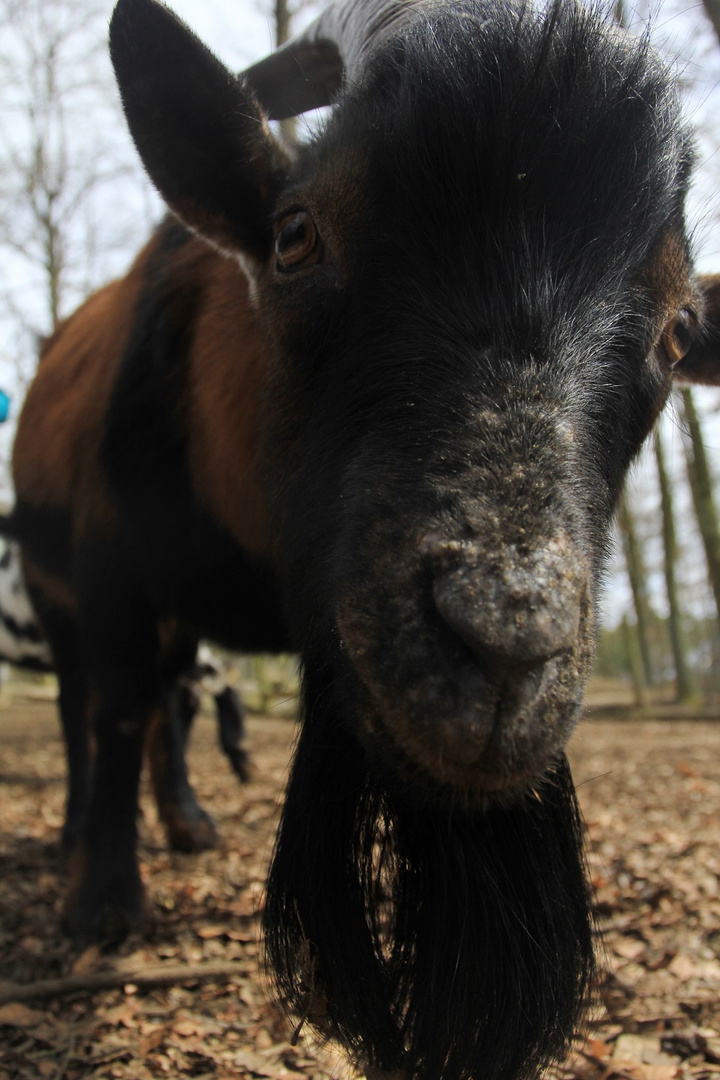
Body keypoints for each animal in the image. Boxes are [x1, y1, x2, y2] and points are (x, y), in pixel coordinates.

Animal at [7, 0, 720, 1075]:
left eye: (680, 329)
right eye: (295, 234)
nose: (503, 646)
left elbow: (163, 707)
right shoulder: (113, 569)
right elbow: (121, 710)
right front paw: (103, 903)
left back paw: (187, 822)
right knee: (87, 705)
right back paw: (79, 835)